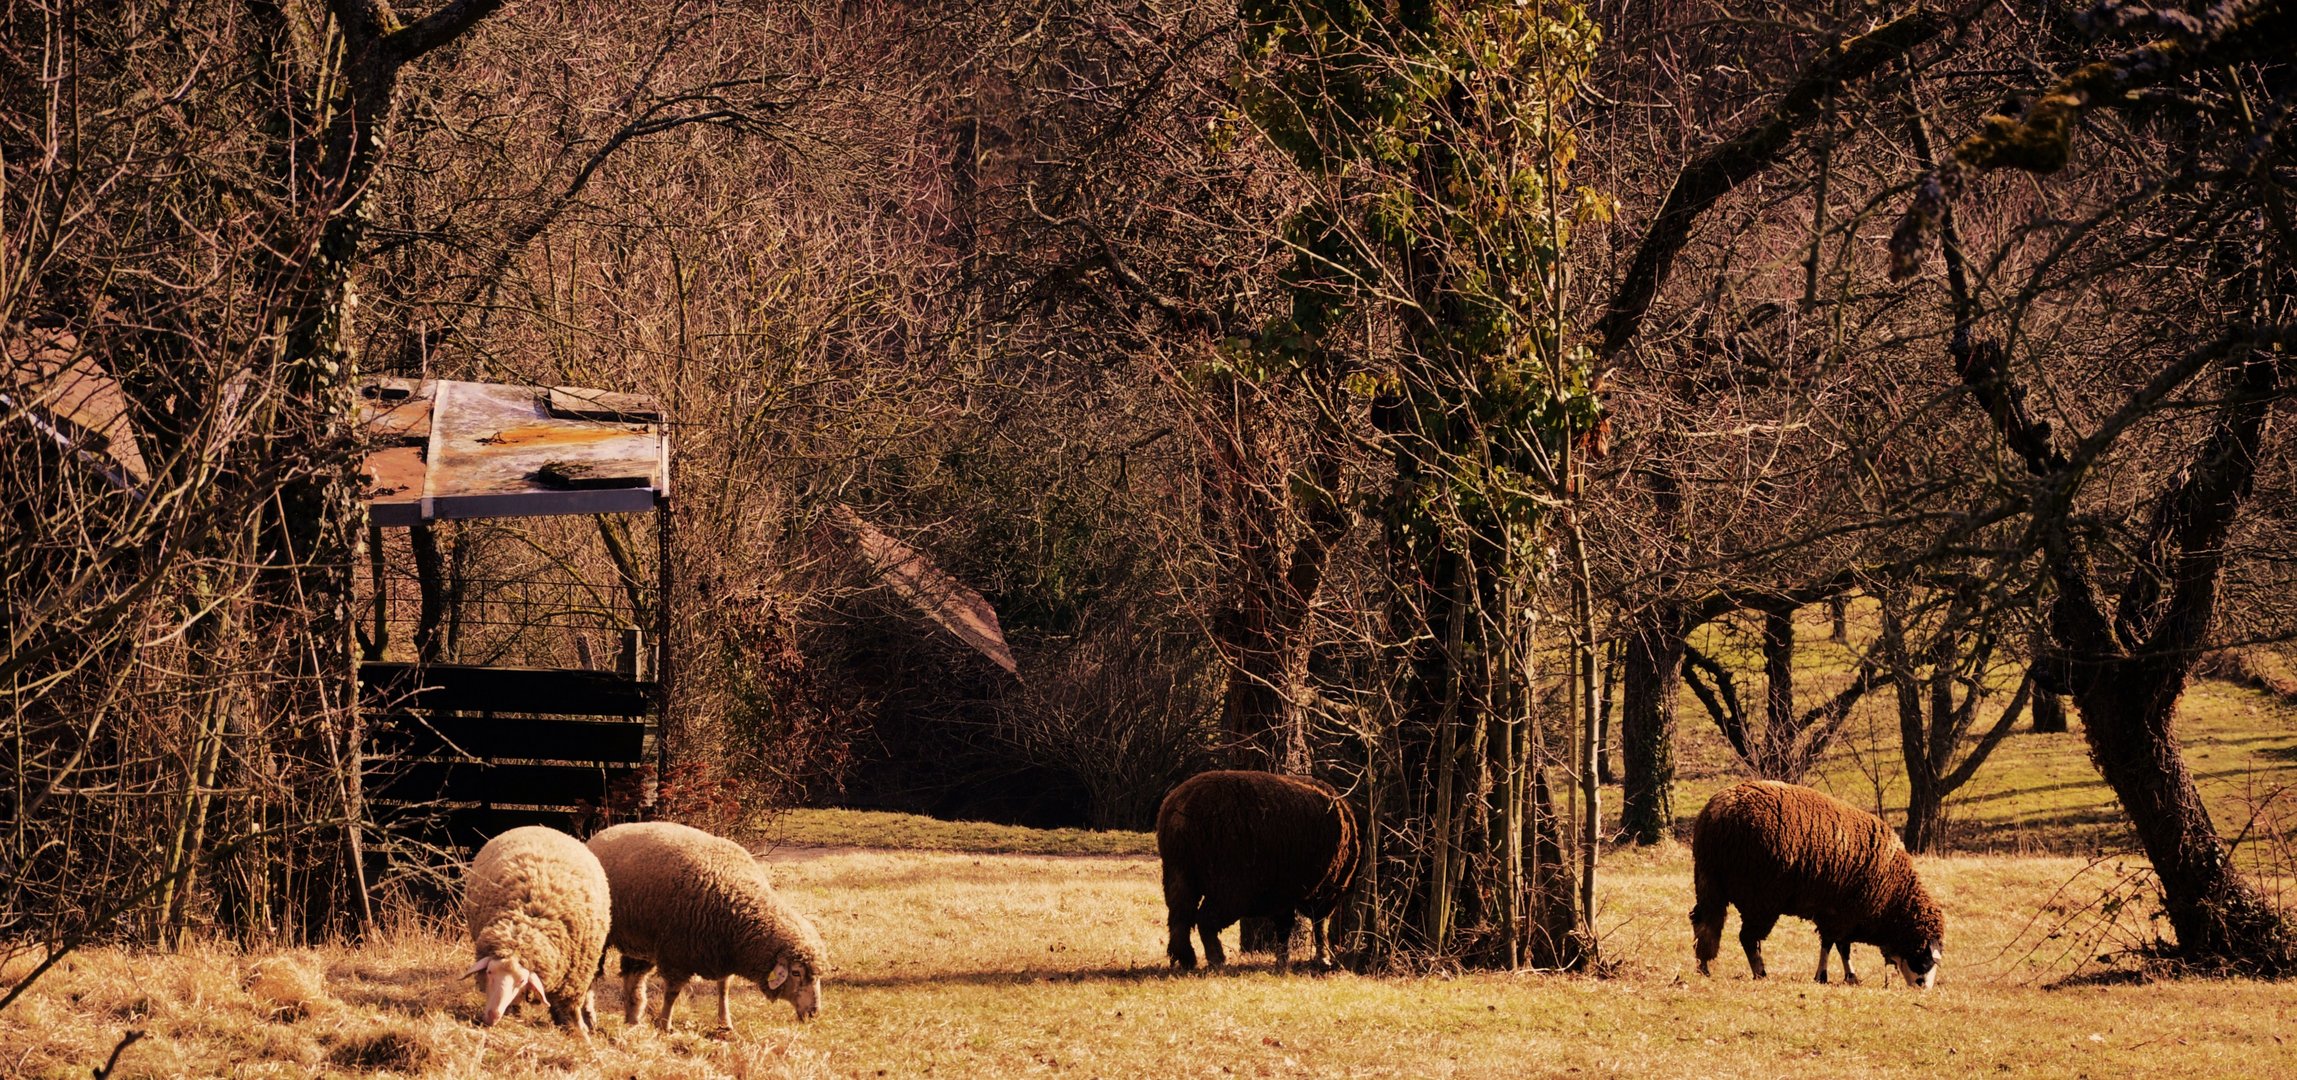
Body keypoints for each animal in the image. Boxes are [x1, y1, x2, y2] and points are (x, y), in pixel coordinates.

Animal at [459, 831, 611, 1034]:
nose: (492, 1016)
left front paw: (579, 1032)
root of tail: (546, 829)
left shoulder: (574, 981)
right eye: (489, 972)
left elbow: (571, 1009)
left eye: (522, 981)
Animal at [588, 822, 831, 1034]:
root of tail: (602, 834)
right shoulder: (677, 954)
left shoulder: (722, 955)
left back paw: (633, 1019)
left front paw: (725, 1023)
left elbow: (723, 989)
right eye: (796, 972)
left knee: (634, 978)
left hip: (640, 942)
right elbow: (672, 994)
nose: (814, 1013)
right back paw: (595, 1019)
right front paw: (665, 1024)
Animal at [1157, 767, 1350, 969]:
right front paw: (1318, 957)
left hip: (1178, 873)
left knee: (1179, 917)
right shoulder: (1316, 890)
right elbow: (1310, 923)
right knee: (1205, 919)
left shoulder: (1285, 893)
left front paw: (1284, 959)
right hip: (1228, 885)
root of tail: (1180, 812)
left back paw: (1185, 958)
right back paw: (1216, 958)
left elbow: (1288, 924)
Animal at [1681, 781, 1947, 992]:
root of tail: (1718, 813)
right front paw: (1825, 976)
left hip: (1708, 880)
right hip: (1760, 898)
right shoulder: (1840, 914)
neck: (1894, 898)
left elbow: (1841, 946)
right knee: (1747, 937)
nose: (1925, 989)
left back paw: (1703, 966)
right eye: (1925, 959)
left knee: (1704, 923)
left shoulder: (1841, 915)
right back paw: (1760, 973)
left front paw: (1849, 976)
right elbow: (1833, 945)